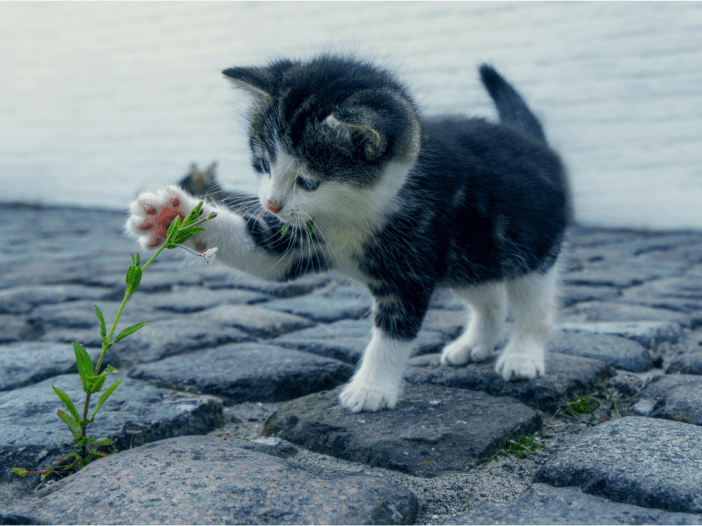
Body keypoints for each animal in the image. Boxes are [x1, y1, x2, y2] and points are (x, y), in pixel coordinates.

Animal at [128, 54, 572, 416]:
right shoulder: (298, 237)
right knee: (489, 295)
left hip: (530, 245)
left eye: (308, 181)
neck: (349, 215)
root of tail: (533, 142)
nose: (271, 204)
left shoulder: (412, 262)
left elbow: (393, 330)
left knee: (533, 302)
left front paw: (371, 388)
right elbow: (261, 254)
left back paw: (522, 355)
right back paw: (474, 344)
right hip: (469, 254)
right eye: (263, 163)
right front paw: (170, 216)